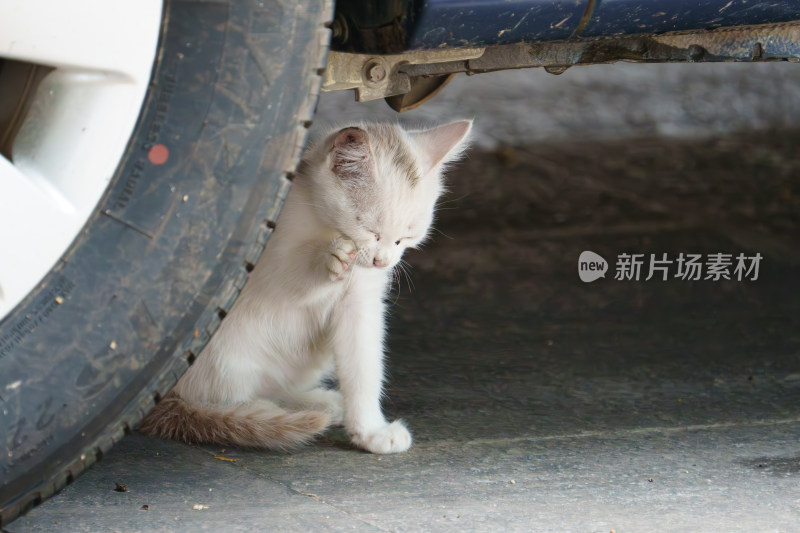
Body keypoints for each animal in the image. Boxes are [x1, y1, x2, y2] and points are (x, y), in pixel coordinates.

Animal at [140, 118, 472, 450]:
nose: (383, 261)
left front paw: (370, 430)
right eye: (370, 229)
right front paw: (329, 257)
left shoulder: (361, 304)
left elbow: (364, 366)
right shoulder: (258, 261)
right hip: (221, 355)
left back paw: (314, 403)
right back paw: (249, 413)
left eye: (407, 236)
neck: (320, 220)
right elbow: (288, 275)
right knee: (215, 395)